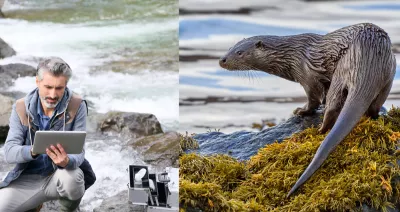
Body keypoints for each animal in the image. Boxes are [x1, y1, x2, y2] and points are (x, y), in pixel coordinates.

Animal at [219, 23, 396, 197]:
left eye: (240, 53)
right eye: (230, 48)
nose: (222, 60)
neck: (292, 56)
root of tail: (368, 59)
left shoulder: (307, 76)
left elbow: (314, 99)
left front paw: (301, 110)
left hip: (342, 71)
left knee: (333, 105)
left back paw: (321, 129)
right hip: (389, 74)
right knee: (374, 105)